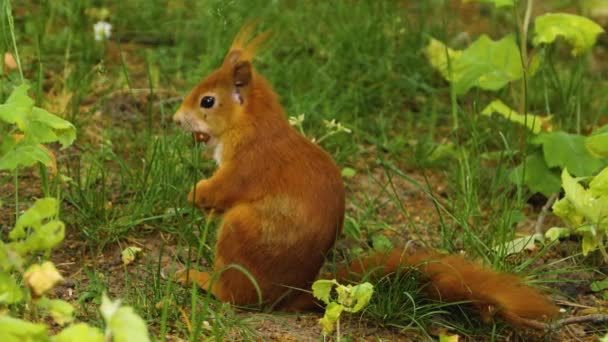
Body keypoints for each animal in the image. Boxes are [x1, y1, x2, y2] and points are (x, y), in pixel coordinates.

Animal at [172, 22, 560, 328]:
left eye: (207, 101)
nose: (176, 119)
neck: (252, 125)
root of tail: (288, 297)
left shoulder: (250, 163)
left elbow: (223, 189)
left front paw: (195, 194)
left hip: (241, 233)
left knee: (234, 297)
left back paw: (200, 279)